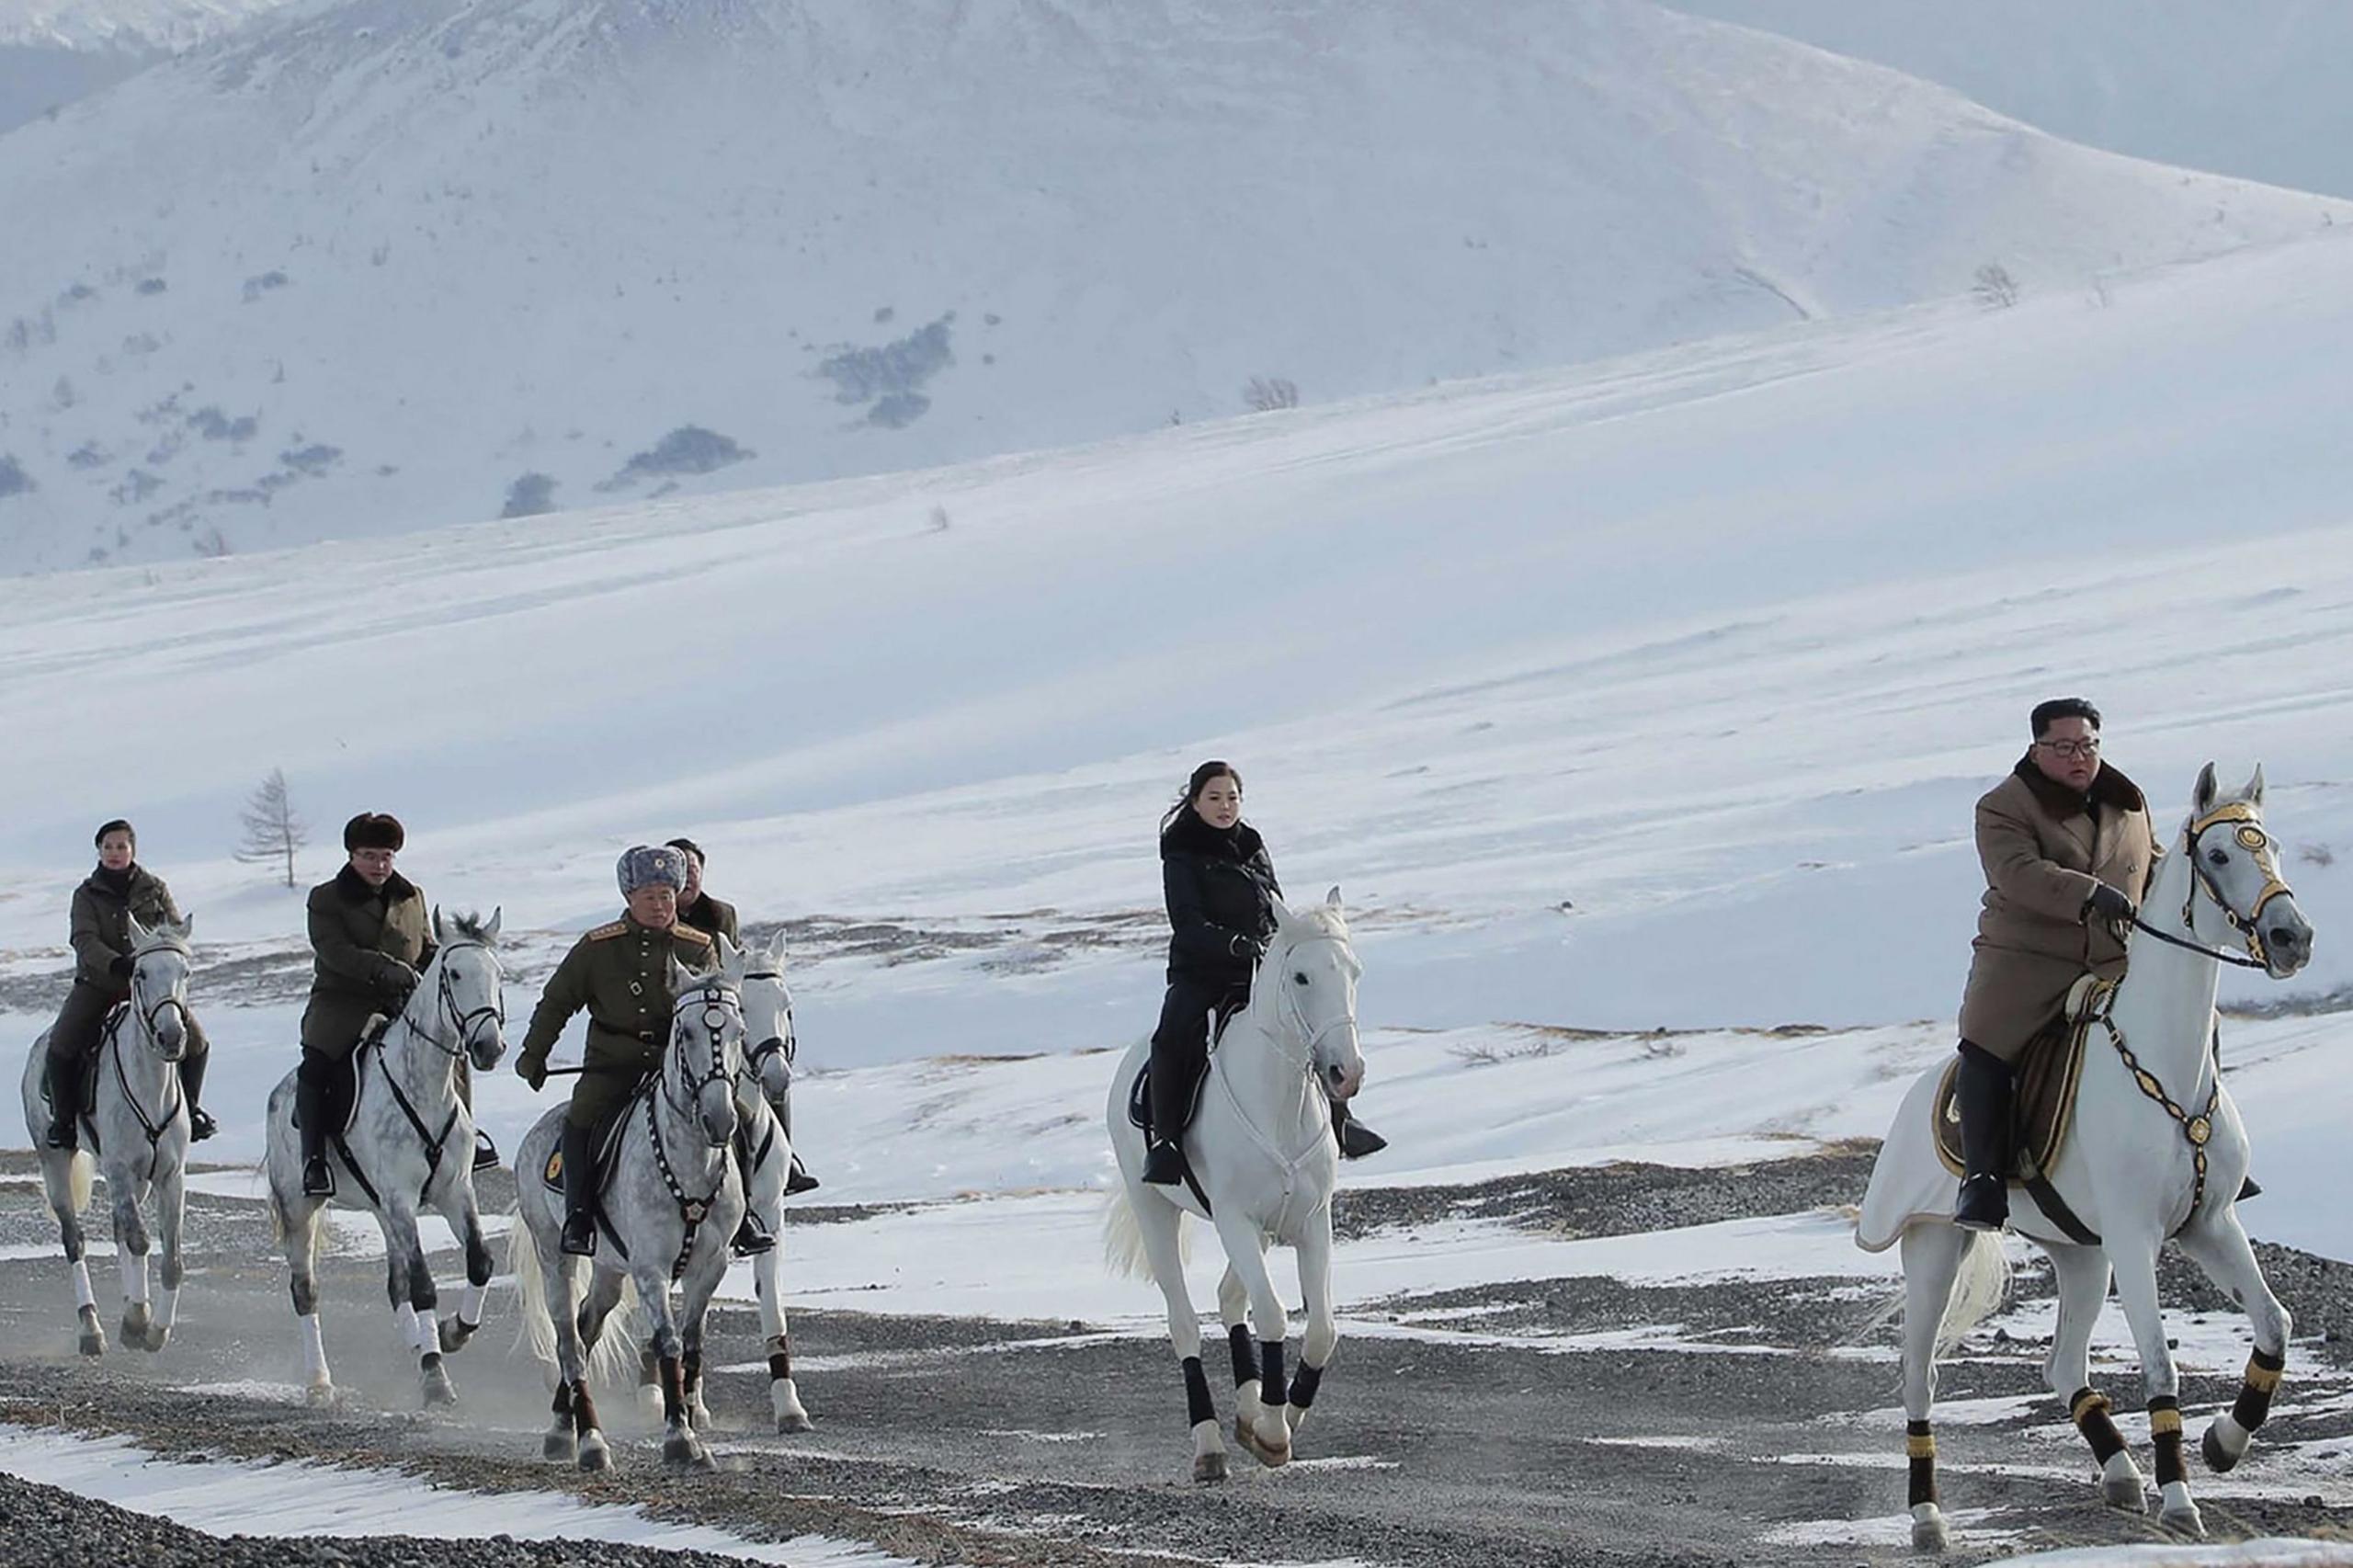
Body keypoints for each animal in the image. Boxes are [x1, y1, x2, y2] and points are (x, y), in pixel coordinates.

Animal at [18, 903, 199, 1356]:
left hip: (140, 1180)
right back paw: (92, 1331)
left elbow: (171, 1260)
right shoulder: (118, 1168)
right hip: (56, 1162)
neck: (151, 1086)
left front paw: (154, 1329)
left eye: (185, 972)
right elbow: (139, 1240)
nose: (171, 1036)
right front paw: (138, 1320)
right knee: (76, 1239)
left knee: (120, 1229)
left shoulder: (170, 1176)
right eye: (141, 973)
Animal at [265, 903, 507, 1403]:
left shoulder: (455, 1191)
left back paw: (419, 1345)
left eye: (498, 973)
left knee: (395, 1286)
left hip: (380, 1209)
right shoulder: (400, 1199)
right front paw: (436, 1378)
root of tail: (278, 1095)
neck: (423, 1089)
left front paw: (452, 1333)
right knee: (306, 1290)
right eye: (454, 973)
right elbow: (424, 1286)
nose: (489, 1047)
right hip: (302, 1208)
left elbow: (479, 1263)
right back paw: (320, 1381)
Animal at [1106, 885, 1374, 1469]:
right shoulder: (1235, 1219)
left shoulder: (1311, 1221)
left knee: (1231, 1296)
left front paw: (1282, 1416)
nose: (1346, 1073)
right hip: (1156, 1211)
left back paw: (1247, 1410)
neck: (1280, 1103)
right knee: (1184, 1322)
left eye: (1355, 971)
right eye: (1301, 977)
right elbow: (1272, 1315)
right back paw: (1209, 1446)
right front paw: (1273, 1431)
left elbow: (1321, 1330)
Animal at [1863, 762, 2325, 1544]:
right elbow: (2161, 1368)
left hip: (2082, 1256)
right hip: (1934, 1249)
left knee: (2061, 1364)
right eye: (2220, 854)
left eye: (2274, 847)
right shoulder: (2138, 1237)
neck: (2168, 1066)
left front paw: (2224, 1444)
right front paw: (2182, 1500)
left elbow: (2275, 1323)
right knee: (1917, 1377)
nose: (2292, 937)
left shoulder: (2210, 1225)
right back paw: (1929, 1518)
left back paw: (2120, 1474)